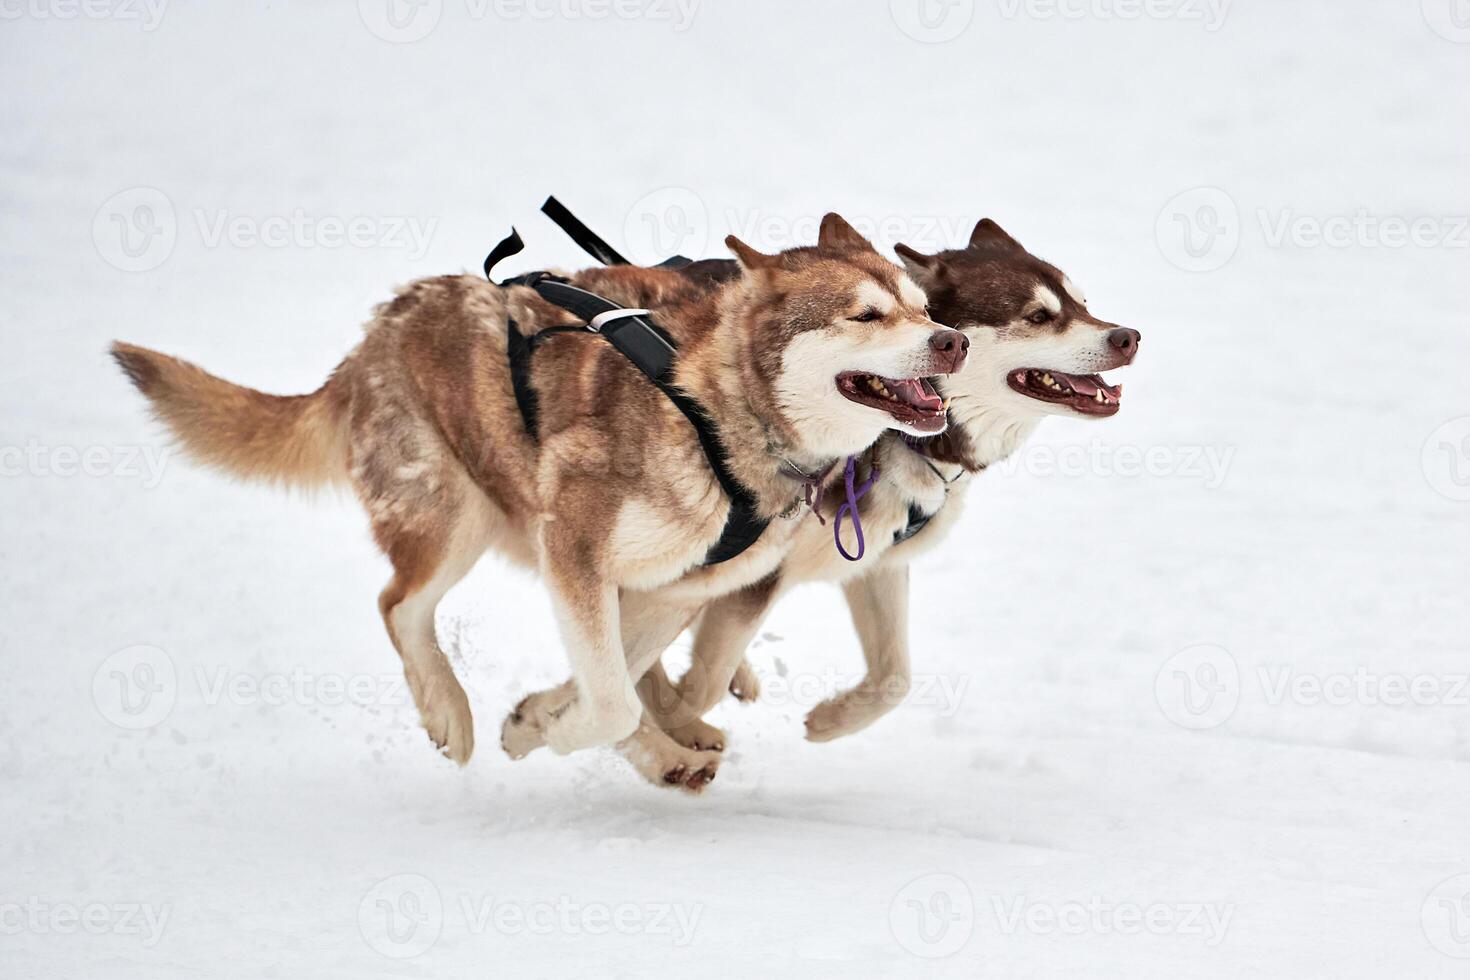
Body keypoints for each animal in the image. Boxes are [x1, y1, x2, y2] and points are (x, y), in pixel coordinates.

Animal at [114, 215, 964, 781]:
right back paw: (451, 713)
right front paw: (543, 733)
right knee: (398, 606)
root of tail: (376, 332)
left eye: (920, 307)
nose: (952, 340)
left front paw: (547, 722)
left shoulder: (673, 585)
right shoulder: (577, 546)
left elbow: (619, 677)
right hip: (454, 518)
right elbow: (614, 697)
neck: (719, 418)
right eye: (866, 314)